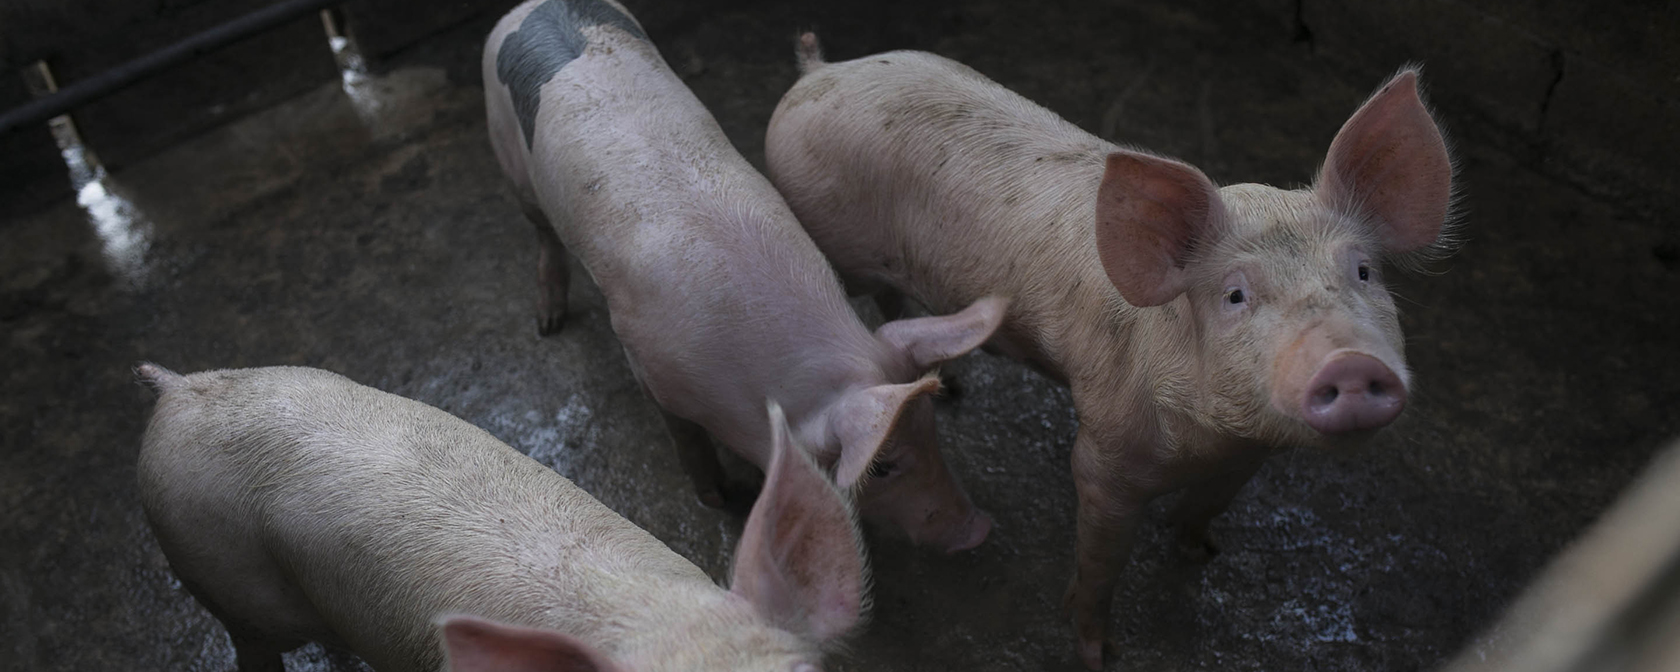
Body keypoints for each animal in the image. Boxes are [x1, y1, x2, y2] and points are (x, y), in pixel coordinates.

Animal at [480, 0, 1001, 551]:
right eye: (881, 467)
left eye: (933, 429)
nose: (979, 528)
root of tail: (527, 8)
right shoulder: (648, 366)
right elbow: (685, 437)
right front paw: (719, 498)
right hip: (509, 159)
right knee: (542, 233)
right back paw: (548, 324)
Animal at [766, 38, 1458, 672]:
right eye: (1235, 294)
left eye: (1363, 271)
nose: (1352, 363)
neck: (1212, 439)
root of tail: (822, 71)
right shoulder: (1104, 458)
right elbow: (1102, 560)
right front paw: (1098, 652)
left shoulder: (1250, 454)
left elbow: (1208, 507)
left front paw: (1200, 552)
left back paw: (954, 384)